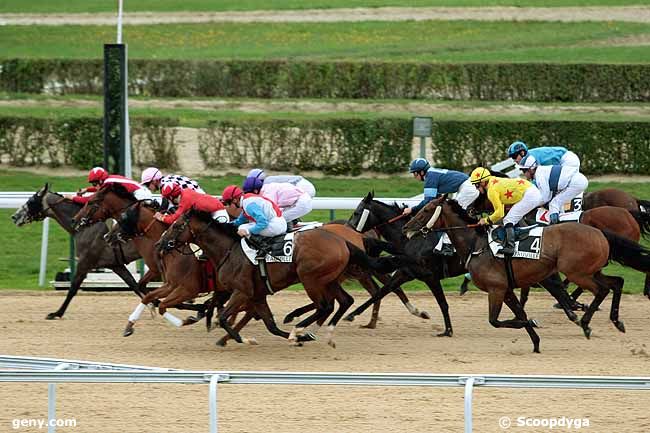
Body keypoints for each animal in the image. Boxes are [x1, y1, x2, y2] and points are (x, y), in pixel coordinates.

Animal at [158, 209, 384, 348]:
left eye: (177, 225)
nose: (161, 243)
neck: (228, 250)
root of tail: (344, 240)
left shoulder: (242, 292)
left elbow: (223, 318)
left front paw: (244, 339)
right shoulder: (257, 295)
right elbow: (271, 326)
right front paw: (297, 340)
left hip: (311, 278)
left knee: (325, 306)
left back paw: (299, 329)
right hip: (330, 279)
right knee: (344, 301)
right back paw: (317, 333)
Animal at [400, 196, 648, 352]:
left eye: (426, 210)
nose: (406, 228)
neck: (476, 244)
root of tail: (599, 232)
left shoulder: (496, 289)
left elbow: (496, 321)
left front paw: (531, 322)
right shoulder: (506, 288)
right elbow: (519, 312)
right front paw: (536, 342)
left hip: (578, 272)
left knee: (602, 289)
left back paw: (586, 323)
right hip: (590, 270)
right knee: (617, 282)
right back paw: (616, 321)